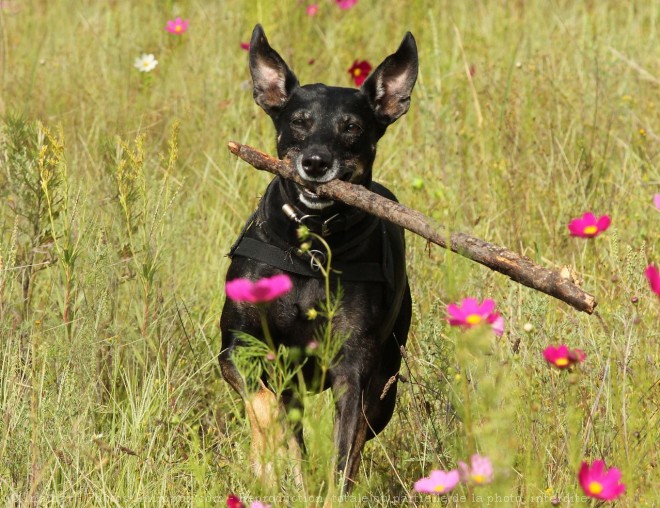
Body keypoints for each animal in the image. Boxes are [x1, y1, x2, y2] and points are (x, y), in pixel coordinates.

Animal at [220, 23, 418, 488]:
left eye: (351, 128)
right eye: (298, 122)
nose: (315, 162)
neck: (308, 248)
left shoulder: (354, 368)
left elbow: (344, 454)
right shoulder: (236, 347)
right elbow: (265, 408)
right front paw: (267, 461)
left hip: (386, 383)